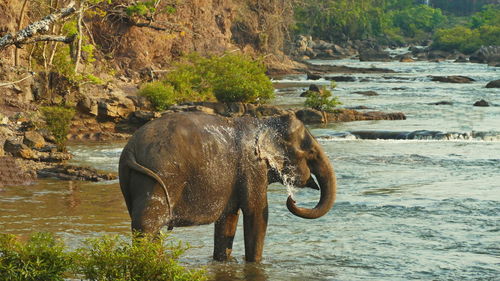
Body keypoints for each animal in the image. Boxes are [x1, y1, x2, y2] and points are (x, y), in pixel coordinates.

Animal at [117, 110, 336, 262]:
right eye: (311, 153)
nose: (292, 199)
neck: (264, 121)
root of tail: (130, 150)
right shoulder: (252, 167)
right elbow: (257, 213)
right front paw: (255, 263)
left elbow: (228, 218)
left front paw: (224, 261)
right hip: (157, 177)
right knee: (147, 226)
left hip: (130, 180)